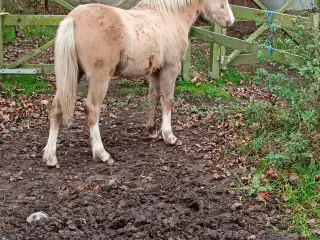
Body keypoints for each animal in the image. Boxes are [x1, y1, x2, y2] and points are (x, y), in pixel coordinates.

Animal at [42, 0, 234, 166]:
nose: (230, 21)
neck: (169, 15)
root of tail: (73, 19)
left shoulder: (155, 71)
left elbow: (154, 98)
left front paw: (152, 131)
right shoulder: (171, 68)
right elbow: (168, 100)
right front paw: (169, 136)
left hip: (73, 74)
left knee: (57, 108)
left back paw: (50, 156)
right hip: (100, 78)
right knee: (92, 109)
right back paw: (102, 153)